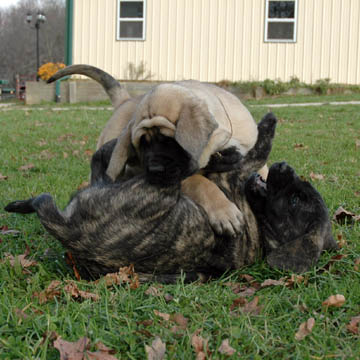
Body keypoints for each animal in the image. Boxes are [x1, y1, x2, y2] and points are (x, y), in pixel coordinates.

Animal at [4, 114, 338, 282]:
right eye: (300, 190)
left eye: (295, 200)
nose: (286, 167)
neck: (261, 226)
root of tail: (69, 233)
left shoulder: (238, 174)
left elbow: (257, 151)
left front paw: (265, 127)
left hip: (160, 185)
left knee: (95, 166)